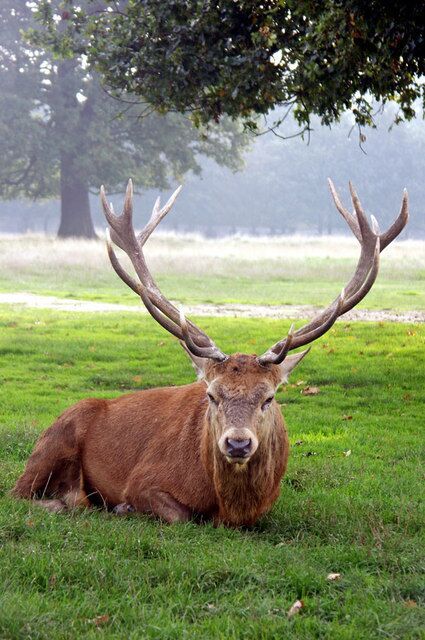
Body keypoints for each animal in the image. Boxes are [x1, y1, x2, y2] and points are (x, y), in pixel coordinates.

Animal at [12, 180, 408, 527]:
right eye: (212, 396)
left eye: (268, 398)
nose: (237, 442)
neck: (230, 508)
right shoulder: (142, 480)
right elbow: (179, 515)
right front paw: (123, 508)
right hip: (53, 442)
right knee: (21, 494)